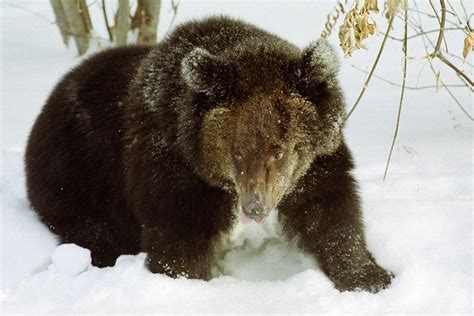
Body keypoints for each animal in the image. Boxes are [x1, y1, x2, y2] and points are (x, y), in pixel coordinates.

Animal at [25, 16, 392, 292]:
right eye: (237, 151)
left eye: (279, 150)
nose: (255, 207)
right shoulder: (174, 169)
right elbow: (180, 238)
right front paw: (188, 280)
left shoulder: (315, 164)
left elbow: (330, 213)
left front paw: (368, 276)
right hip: (78, 177)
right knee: (95, 231)